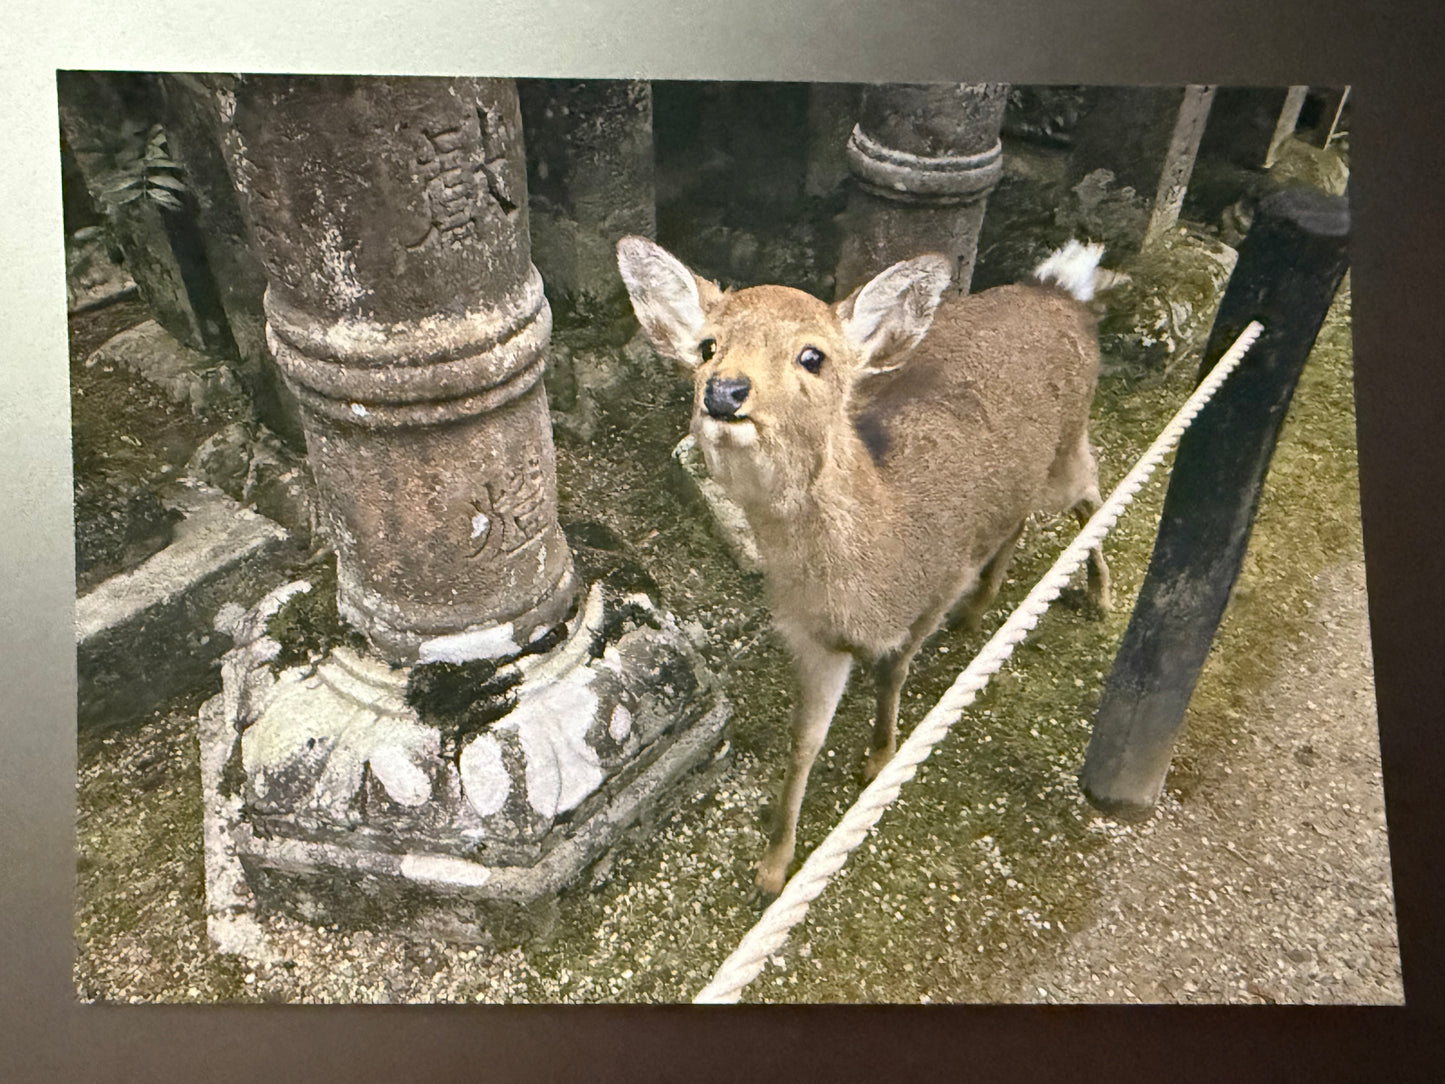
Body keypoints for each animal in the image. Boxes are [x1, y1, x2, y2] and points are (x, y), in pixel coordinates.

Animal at [617, 235, 1112, 897]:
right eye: (707, 346)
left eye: (812, 355)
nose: (723, 391)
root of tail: (1064, 290)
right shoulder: (813, 640)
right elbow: (803, 741)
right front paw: (774, 868)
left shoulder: (934, 588)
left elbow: (893, 673)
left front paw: (877, 760)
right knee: (1020, 520)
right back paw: (982, 609)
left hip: (1069, 449)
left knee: (1093, 495)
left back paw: (1100, 596)